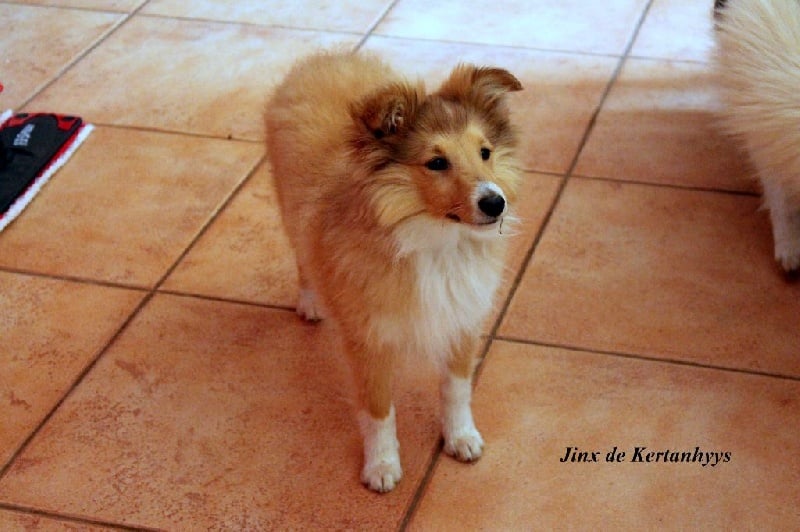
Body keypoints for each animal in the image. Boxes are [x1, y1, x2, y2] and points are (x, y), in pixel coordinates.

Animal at [264, 50, 522, 492]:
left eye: (485, 152)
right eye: (436, 163)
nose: (495, 203)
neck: (436, 241)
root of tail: (324, 57)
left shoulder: (462, 320)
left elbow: (456, 389)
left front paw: (462, 438)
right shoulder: (370, 342)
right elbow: (379, 411)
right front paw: (382, 467)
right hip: (289, 208)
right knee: (302, 257)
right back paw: (310, 303)